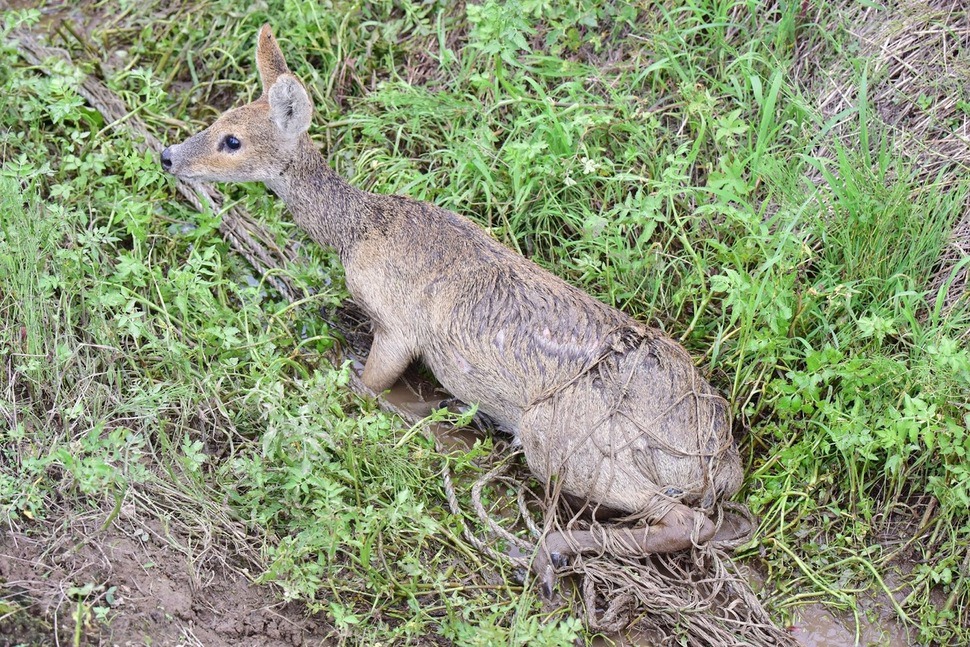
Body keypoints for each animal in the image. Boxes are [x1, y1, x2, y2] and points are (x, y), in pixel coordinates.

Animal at [163, 25, 744, 596]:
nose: (169, 156)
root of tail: (721, 461)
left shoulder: (399, 326)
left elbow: (367, 386)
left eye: (232, 140)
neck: (357, 230)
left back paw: (545, 551)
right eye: (217, 120)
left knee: (687, 520)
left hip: (564, 438)